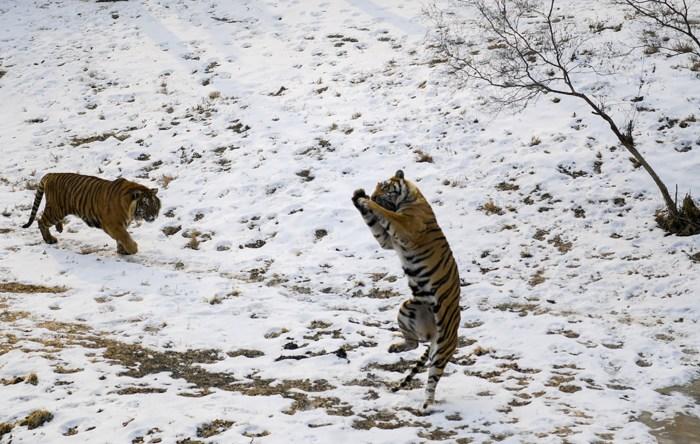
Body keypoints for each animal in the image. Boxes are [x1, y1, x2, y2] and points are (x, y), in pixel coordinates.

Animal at [21, 173, 161, 255]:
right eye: (145, 204)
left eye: (155, 204)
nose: (154, 216)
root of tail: (51, 174)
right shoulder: (112, 224)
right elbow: (124, 236)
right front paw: (133, 249)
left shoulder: (120, 225)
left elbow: (121, 238)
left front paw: (123, 251)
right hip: (56, 211)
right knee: (40, 221)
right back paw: (49, 239)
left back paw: (59, 228)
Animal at [352, 170, 462, 410]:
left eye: (384, 187)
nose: (373, 195)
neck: (411, 198)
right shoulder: (387, 240)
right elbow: (374, 223)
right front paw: (358, 197)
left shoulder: (406, 227)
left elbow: (385, 214)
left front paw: (366, 202)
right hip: (408, 308)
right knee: (414, 342)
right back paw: (394, 347)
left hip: (442, 347)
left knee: (433, 377)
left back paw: (426, 406)